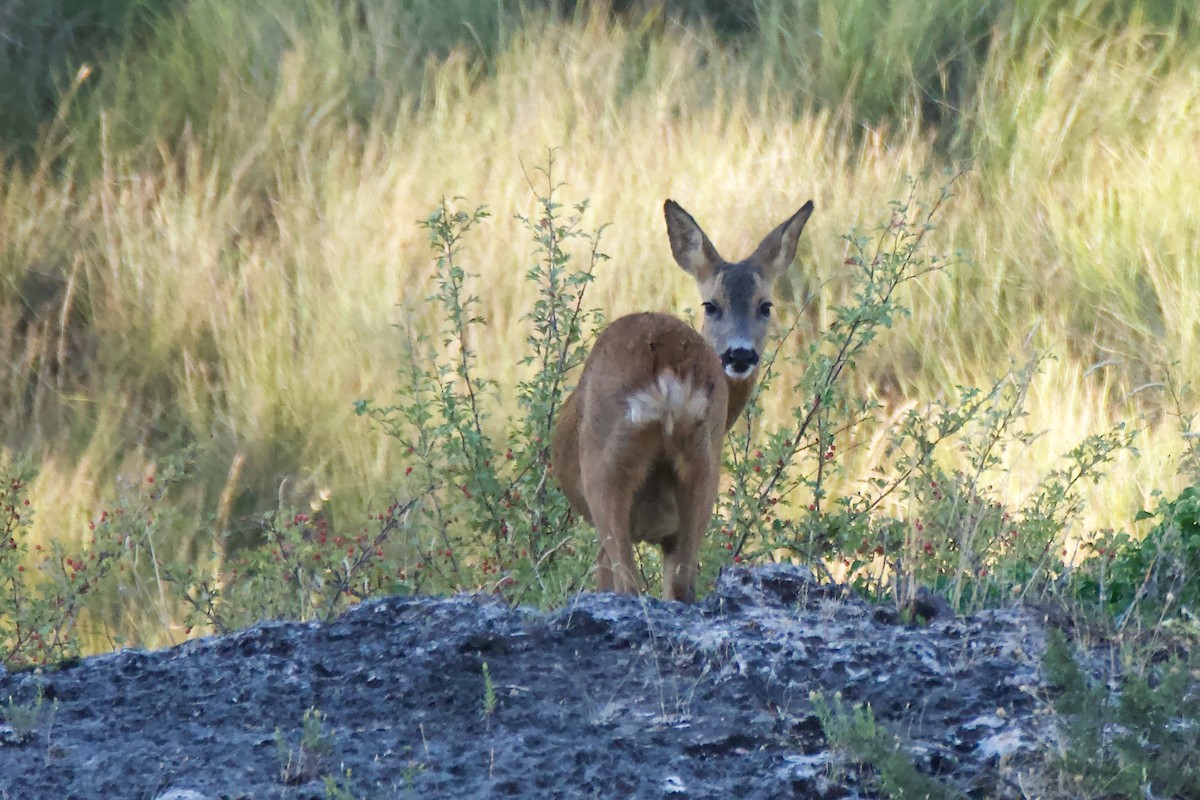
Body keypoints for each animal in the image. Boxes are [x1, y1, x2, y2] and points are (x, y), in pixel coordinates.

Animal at [551, 198, 814, 602]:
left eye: (765, 306)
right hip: (703, 462)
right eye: (711, 305)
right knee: (681, 582)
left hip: (606, 466)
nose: (740, 354)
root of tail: (666, 371)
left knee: (629, 583)